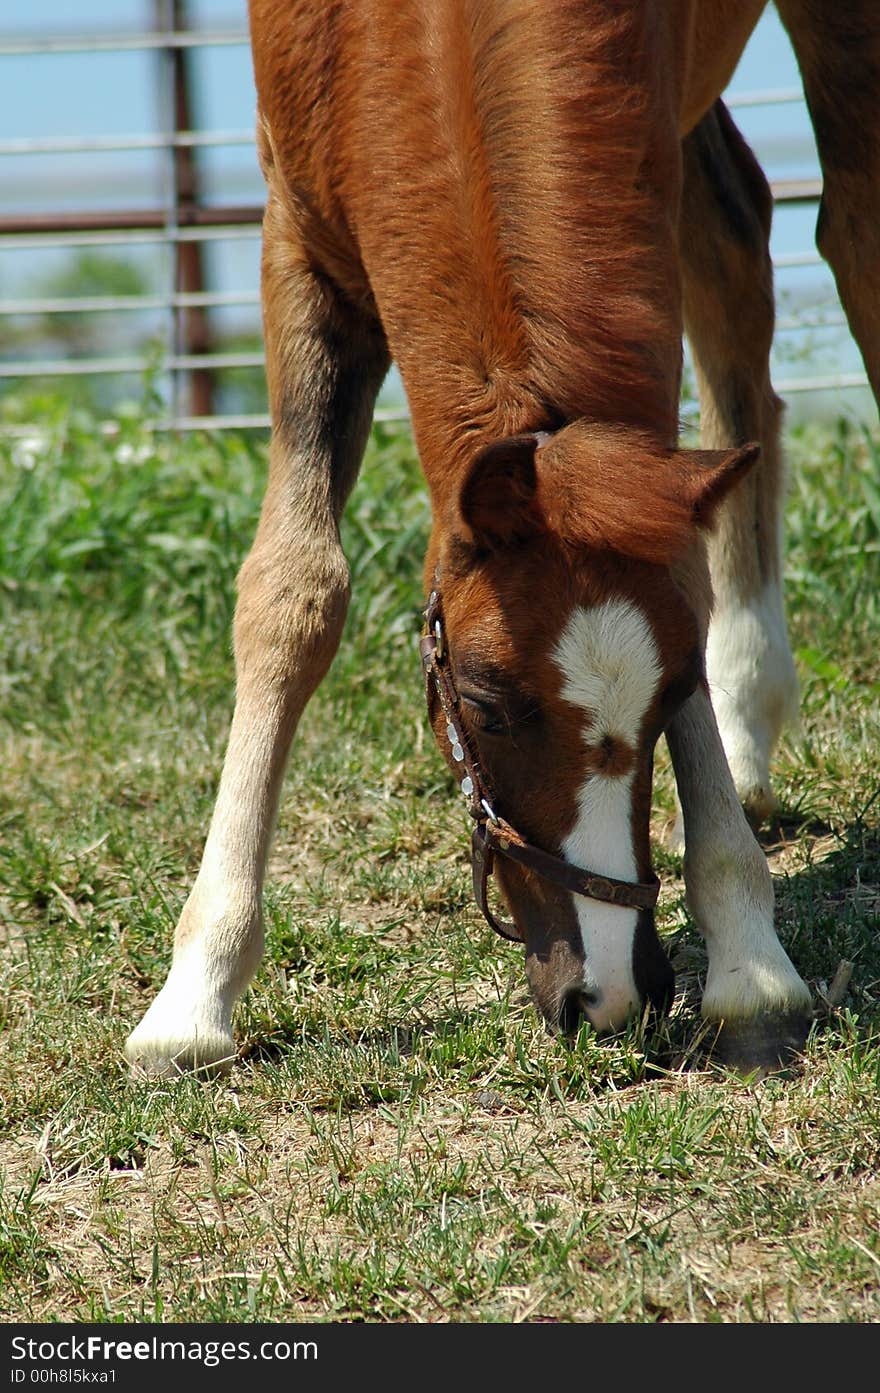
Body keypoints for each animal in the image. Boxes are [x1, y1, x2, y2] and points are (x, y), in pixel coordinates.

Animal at [123, 0, 880, 1075]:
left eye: (669, 694)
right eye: (482, 702)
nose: (610, 996)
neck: (427, 34)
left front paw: (750, 961)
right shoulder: (300, 233)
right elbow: (292, 592)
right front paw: (195, 993)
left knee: (848, 233)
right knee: (735, 236)